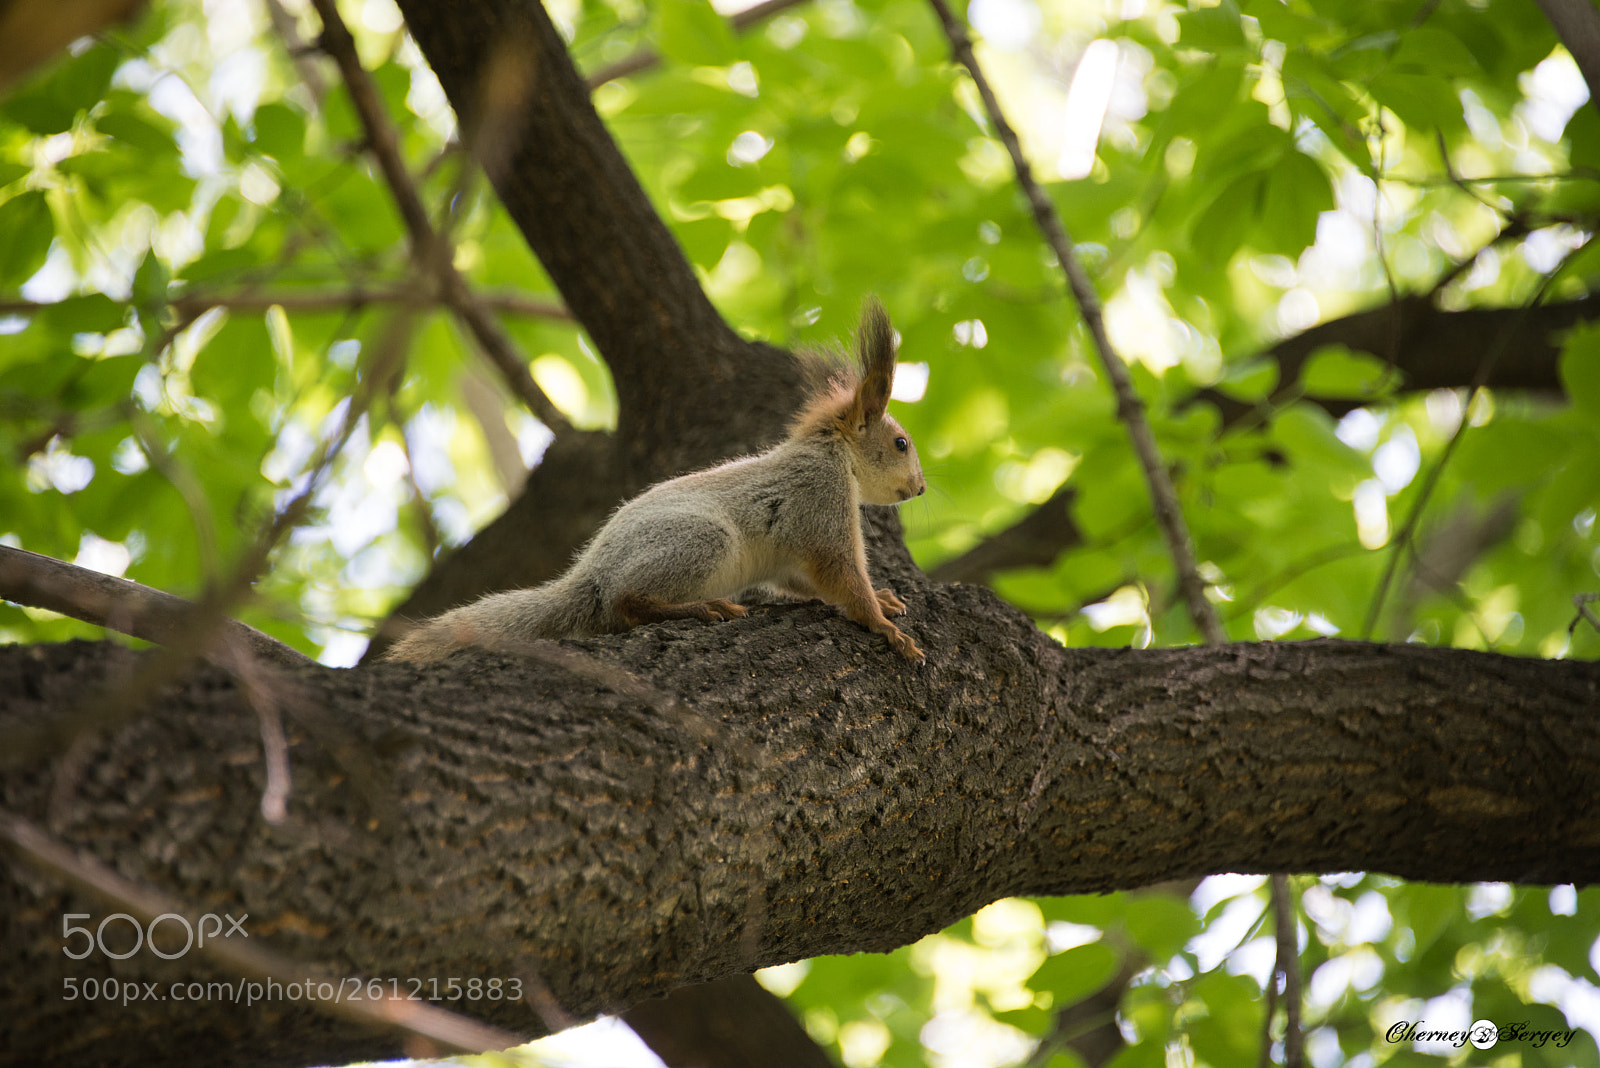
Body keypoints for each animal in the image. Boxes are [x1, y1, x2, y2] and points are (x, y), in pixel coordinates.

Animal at [384, 298, 927, 665]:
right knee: (626, 605)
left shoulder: (792, 550)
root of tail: (591, 577)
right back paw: (701, 608)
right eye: (901, 443)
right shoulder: (818, 496)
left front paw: (881, 600)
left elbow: (799, 579)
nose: (921, 489)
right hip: (701, 540)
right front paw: (883, 625)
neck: (833, 453)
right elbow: (840, 573)